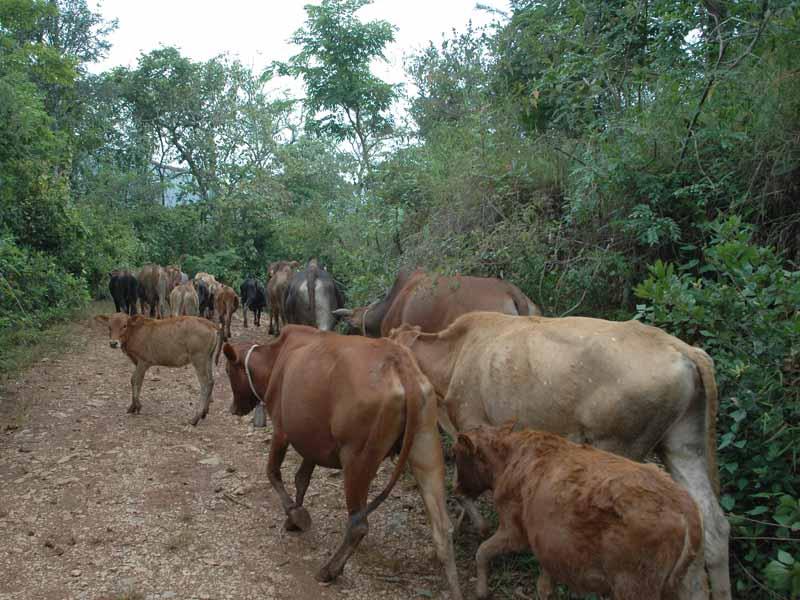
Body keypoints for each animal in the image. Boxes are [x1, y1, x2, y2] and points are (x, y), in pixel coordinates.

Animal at [95, 314, 223, 426]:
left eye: (124, 325)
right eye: (109, 326)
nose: (113, 343)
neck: (134, 334)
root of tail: (212, 325)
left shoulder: (144, 361)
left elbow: (135, 380)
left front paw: (137, 406)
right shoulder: (137, 362)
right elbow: (135, 381)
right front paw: (132, 406)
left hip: (198, 357)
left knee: (205, 384)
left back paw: (195, 418)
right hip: (208, 357)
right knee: (211, 381)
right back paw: (204, 412)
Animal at [222, 326, 462, 596]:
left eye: (227, 370)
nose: (233, 409)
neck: (275, 358)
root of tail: (400, 363)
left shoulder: (282, 430)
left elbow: (273, 473)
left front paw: (296, 515)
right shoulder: (311, 441)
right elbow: (301, 480)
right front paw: (293, 518)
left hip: (357, 458)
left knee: (358, 524)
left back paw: (330, 570)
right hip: (426, 447)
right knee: (442, 529)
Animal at [454, 422, 704, 600]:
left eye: (459, 455)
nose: (456, 488)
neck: (508, 458)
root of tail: (684, 505)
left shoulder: (514, 531)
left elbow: (482, 551)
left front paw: (481, 591)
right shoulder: (546, 541)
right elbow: (545, 578)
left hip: (635, 585)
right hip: (677, 585)